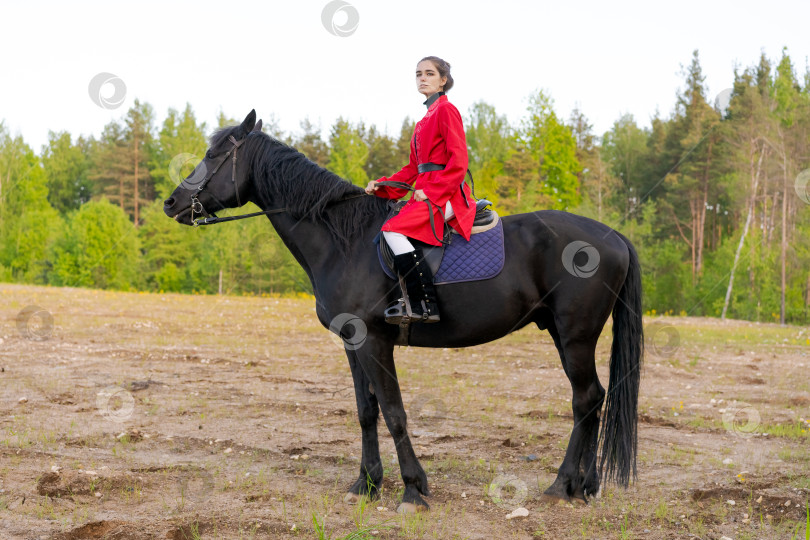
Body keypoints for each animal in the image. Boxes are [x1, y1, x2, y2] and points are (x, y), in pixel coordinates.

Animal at [163, 112, 644, 512]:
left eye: (212, 155)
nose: (171, 203)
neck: (345, 241)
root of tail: (613, 235)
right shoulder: (352, 343)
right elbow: (366, 412)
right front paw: (366, 484)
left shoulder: (375, 341)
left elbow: (394, 412)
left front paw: (412, 489)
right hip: (564, 335)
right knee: (595, 399)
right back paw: (586, 485)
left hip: (575, 335)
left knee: (585, 399)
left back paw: (562, 485)